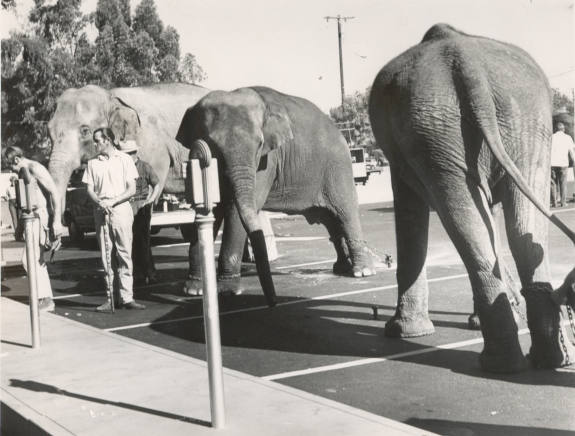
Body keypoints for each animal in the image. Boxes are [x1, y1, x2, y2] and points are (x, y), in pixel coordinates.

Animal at [176, 85, 378, 304]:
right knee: (331, 220)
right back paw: (342, 268)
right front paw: (193, 290)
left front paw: (229, 292)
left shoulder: (268, 160)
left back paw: (362, 272)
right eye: (212, 145)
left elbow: (234, 210)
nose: (273, 301)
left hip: (338, 168)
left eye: (259, 144)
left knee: (345, 212)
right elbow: (215, 207)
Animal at [368, 22, 575, 372]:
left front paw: (402, 333)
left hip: (440, 128)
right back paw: (545, 360)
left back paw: (501, 363)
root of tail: (465, 61)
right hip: (513, 122)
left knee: (468, 220)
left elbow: (410, 209)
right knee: (518, 228)